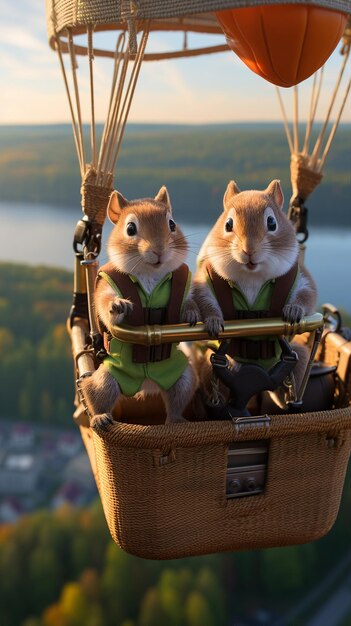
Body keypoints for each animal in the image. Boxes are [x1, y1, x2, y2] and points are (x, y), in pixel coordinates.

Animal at [81, 184, 199, 424]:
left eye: (172, 224)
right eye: (130, 228)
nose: (159, 250)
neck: (150, 275)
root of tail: (147, 385)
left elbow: (188, 302)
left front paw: (192, 313)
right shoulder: (106, 284)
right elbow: (104, 301)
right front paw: (117, 305)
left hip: (182, 376)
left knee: (177, 399)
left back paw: (176, 420)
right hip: (108, 379)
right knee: (95, 392)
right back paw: (100, 417)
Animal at [192, 178, 320, 408]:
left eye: (272, 223)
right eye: (228, 224)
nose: (249, 250)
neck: (252, 276)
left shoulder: (299, 274)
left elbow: (308, 295)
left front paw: (294, 310)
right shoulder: (205, 277)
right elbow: (202, 299)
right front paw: (213, 321)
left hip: (299, 359)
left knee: (293, 377)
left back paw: (286, 398)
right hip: (215, 366)